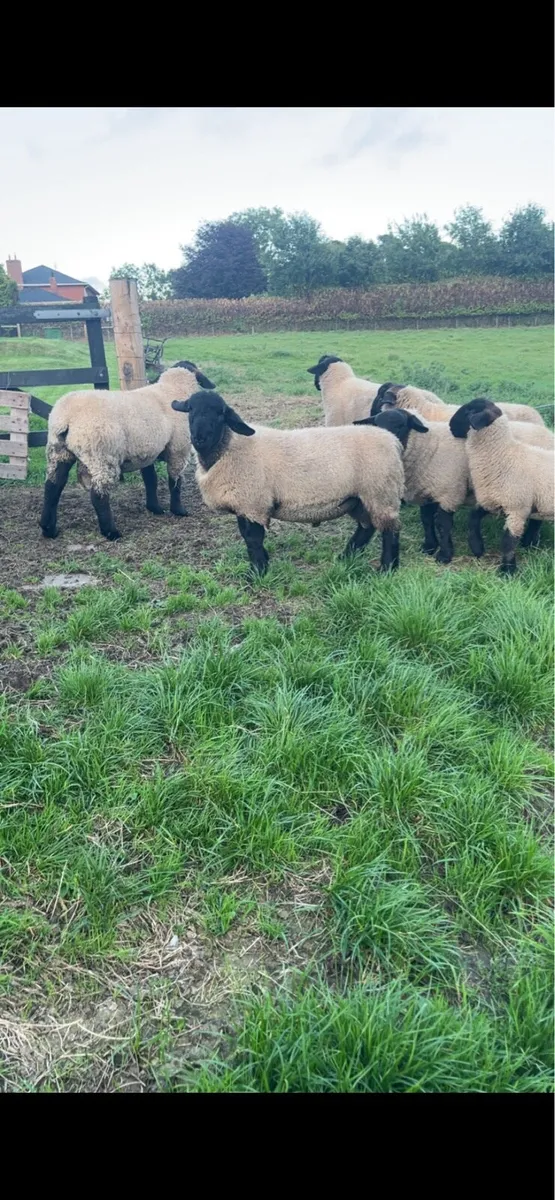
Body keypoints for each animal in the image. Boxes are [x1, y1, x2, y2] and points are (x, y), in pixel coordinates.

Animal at [40, 361, 216, 541]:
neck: (173, 388)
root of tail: (66, 418)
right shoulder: (178, 449)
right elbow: (175, 481)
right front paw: (178, 510)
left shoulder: (146, 450)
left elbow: (150, 479)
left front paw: (154, 508)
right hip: (102, 455)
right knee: (98, 496)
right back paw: (111, 532)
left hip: (58, 452)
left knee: (52, 487)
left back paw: (49, 529)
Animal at [171, 390, 405, 574]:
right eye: (190, 410)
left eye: (220, 414)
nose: (200, 438)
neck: (227, 448)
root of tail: (391, 439)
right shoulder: (245, 504)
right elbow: (249, 537)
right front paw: (263, 563)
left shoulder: (254, 503)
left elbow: (253, 539)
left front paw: (257, 573)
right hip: (359, 498)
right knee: (366, 528)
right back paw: (346, 557)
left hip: (381, 491)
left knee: (390, 531)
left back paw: (386, 569)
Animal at [449, 399, 554, 571]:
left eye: (469, 411)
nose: (450, 426)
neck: (503, 456)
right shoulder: (492, 500)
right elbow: (473, 517)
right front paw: (477, 547)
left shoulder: (517, 508)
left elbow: (508, 542)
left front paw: (508, 570)